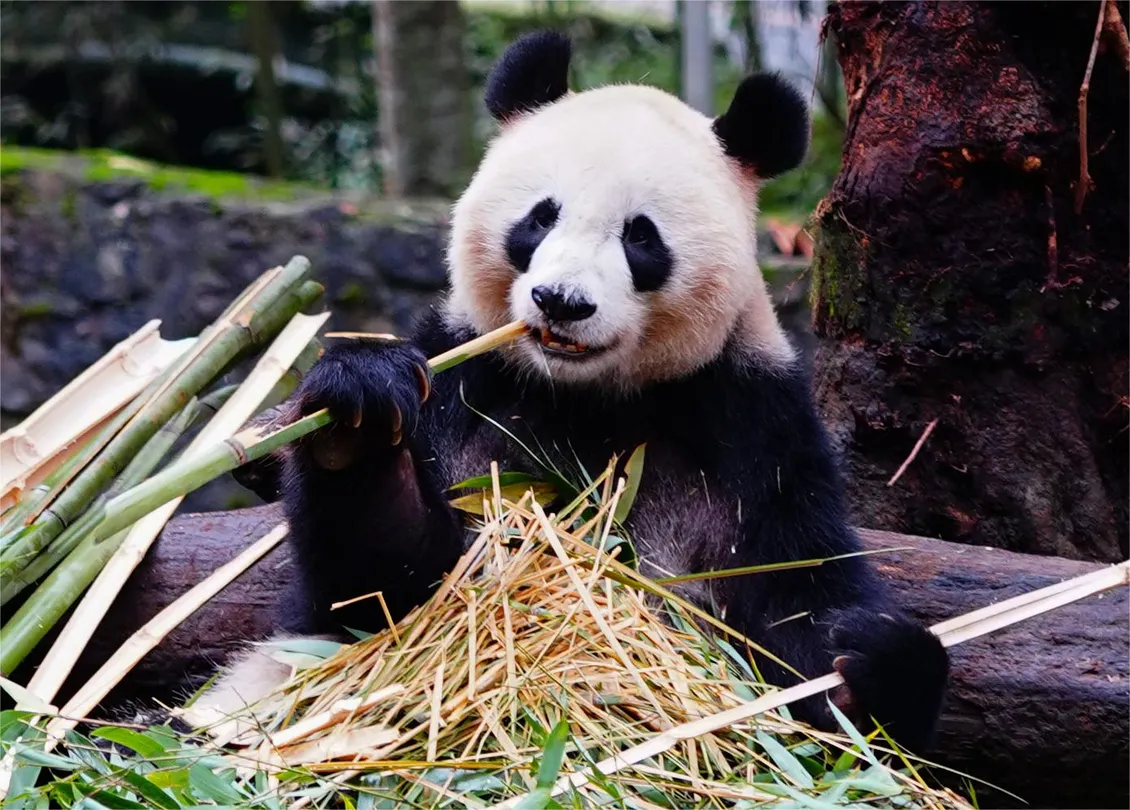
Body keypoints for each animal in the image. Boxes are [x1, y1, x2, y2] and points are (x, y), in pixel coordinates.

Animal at [187, 30, 949, 754]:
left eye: (641, 238)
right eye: (539, 218)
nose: (562, 302)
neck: (582, 393)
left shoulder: (751, 424)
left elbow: (796, 587)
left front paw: (869, 666)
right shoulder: (462, 381)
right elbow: (374, 597)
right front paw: (358, 419)